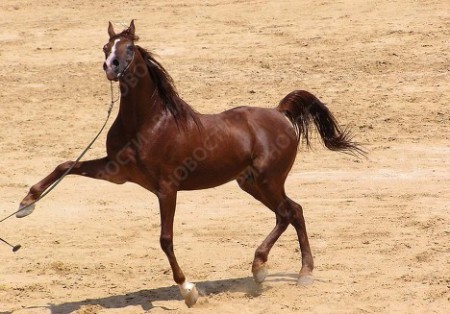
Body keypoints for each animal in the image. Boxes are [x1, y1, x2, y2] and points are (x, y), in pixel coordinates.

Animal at [16, 20, 362, 306]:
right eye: (106, 47)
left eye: (128, 48)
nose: (110, 67)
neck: (149, 122)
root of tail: (279, 113)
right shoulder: (116, 172)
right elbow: (66, 165)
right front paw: (26, 204)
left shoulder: (167, 188)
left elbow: (165, 239)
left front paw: (189, 291)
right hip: (251, 183)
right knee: (291, 212)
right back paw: (277, 271)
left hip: (268, 180)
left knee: (290, 212)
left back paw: (284, 272)